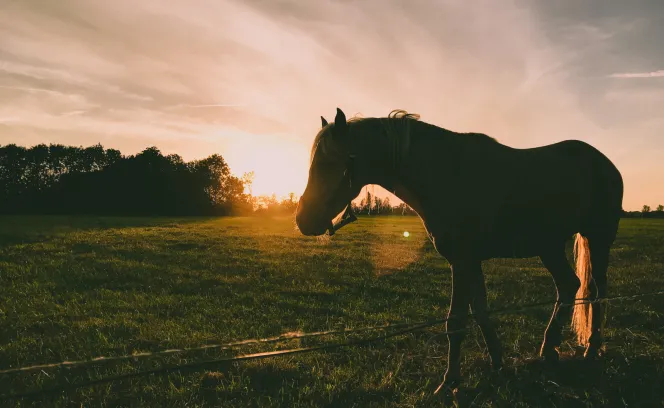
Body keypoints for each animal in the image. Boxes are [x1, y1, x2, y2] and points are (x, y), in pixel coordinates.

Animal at [295, 108, 624, 391]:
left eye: (328, 163)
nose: (303, 220)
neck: (445, 174)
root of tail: (604, 163)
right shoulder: (468, 262)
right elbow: (480, 311)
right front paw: (498, 363)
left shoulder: (462, 261)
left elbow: (456, 322)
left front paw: (450, 382)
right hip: (549, 246)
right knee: (569, 286)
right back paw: (549, 349)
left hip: (597, 239)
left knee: (597, 291)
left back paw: (591, 348)